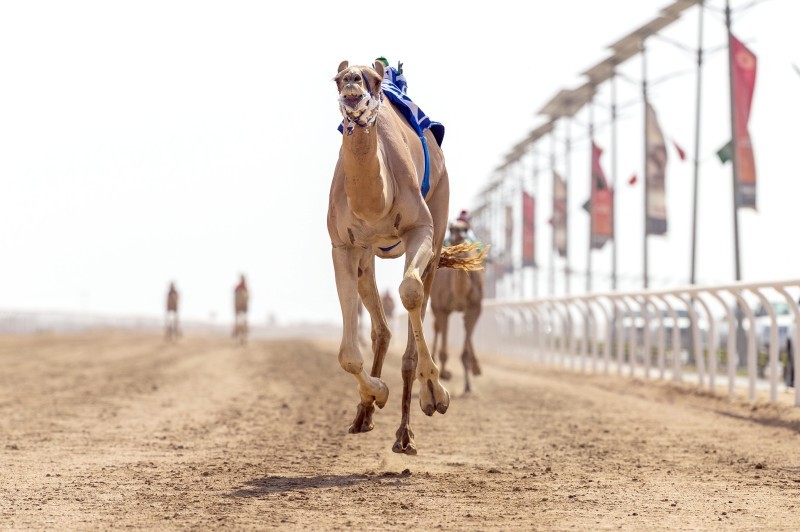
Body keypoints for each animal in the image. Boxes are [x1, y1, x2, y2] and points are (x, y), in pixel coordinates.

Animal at [434, 218, 484, 392]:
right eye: (452, 228)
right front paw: (444, 374)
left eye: (466, 228)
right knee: (436, 328)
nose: (459, 234)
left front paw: (468, 386)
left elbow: (465, 351)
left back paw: (476, 370)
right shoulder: (442, 308)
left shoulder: (475, 307)